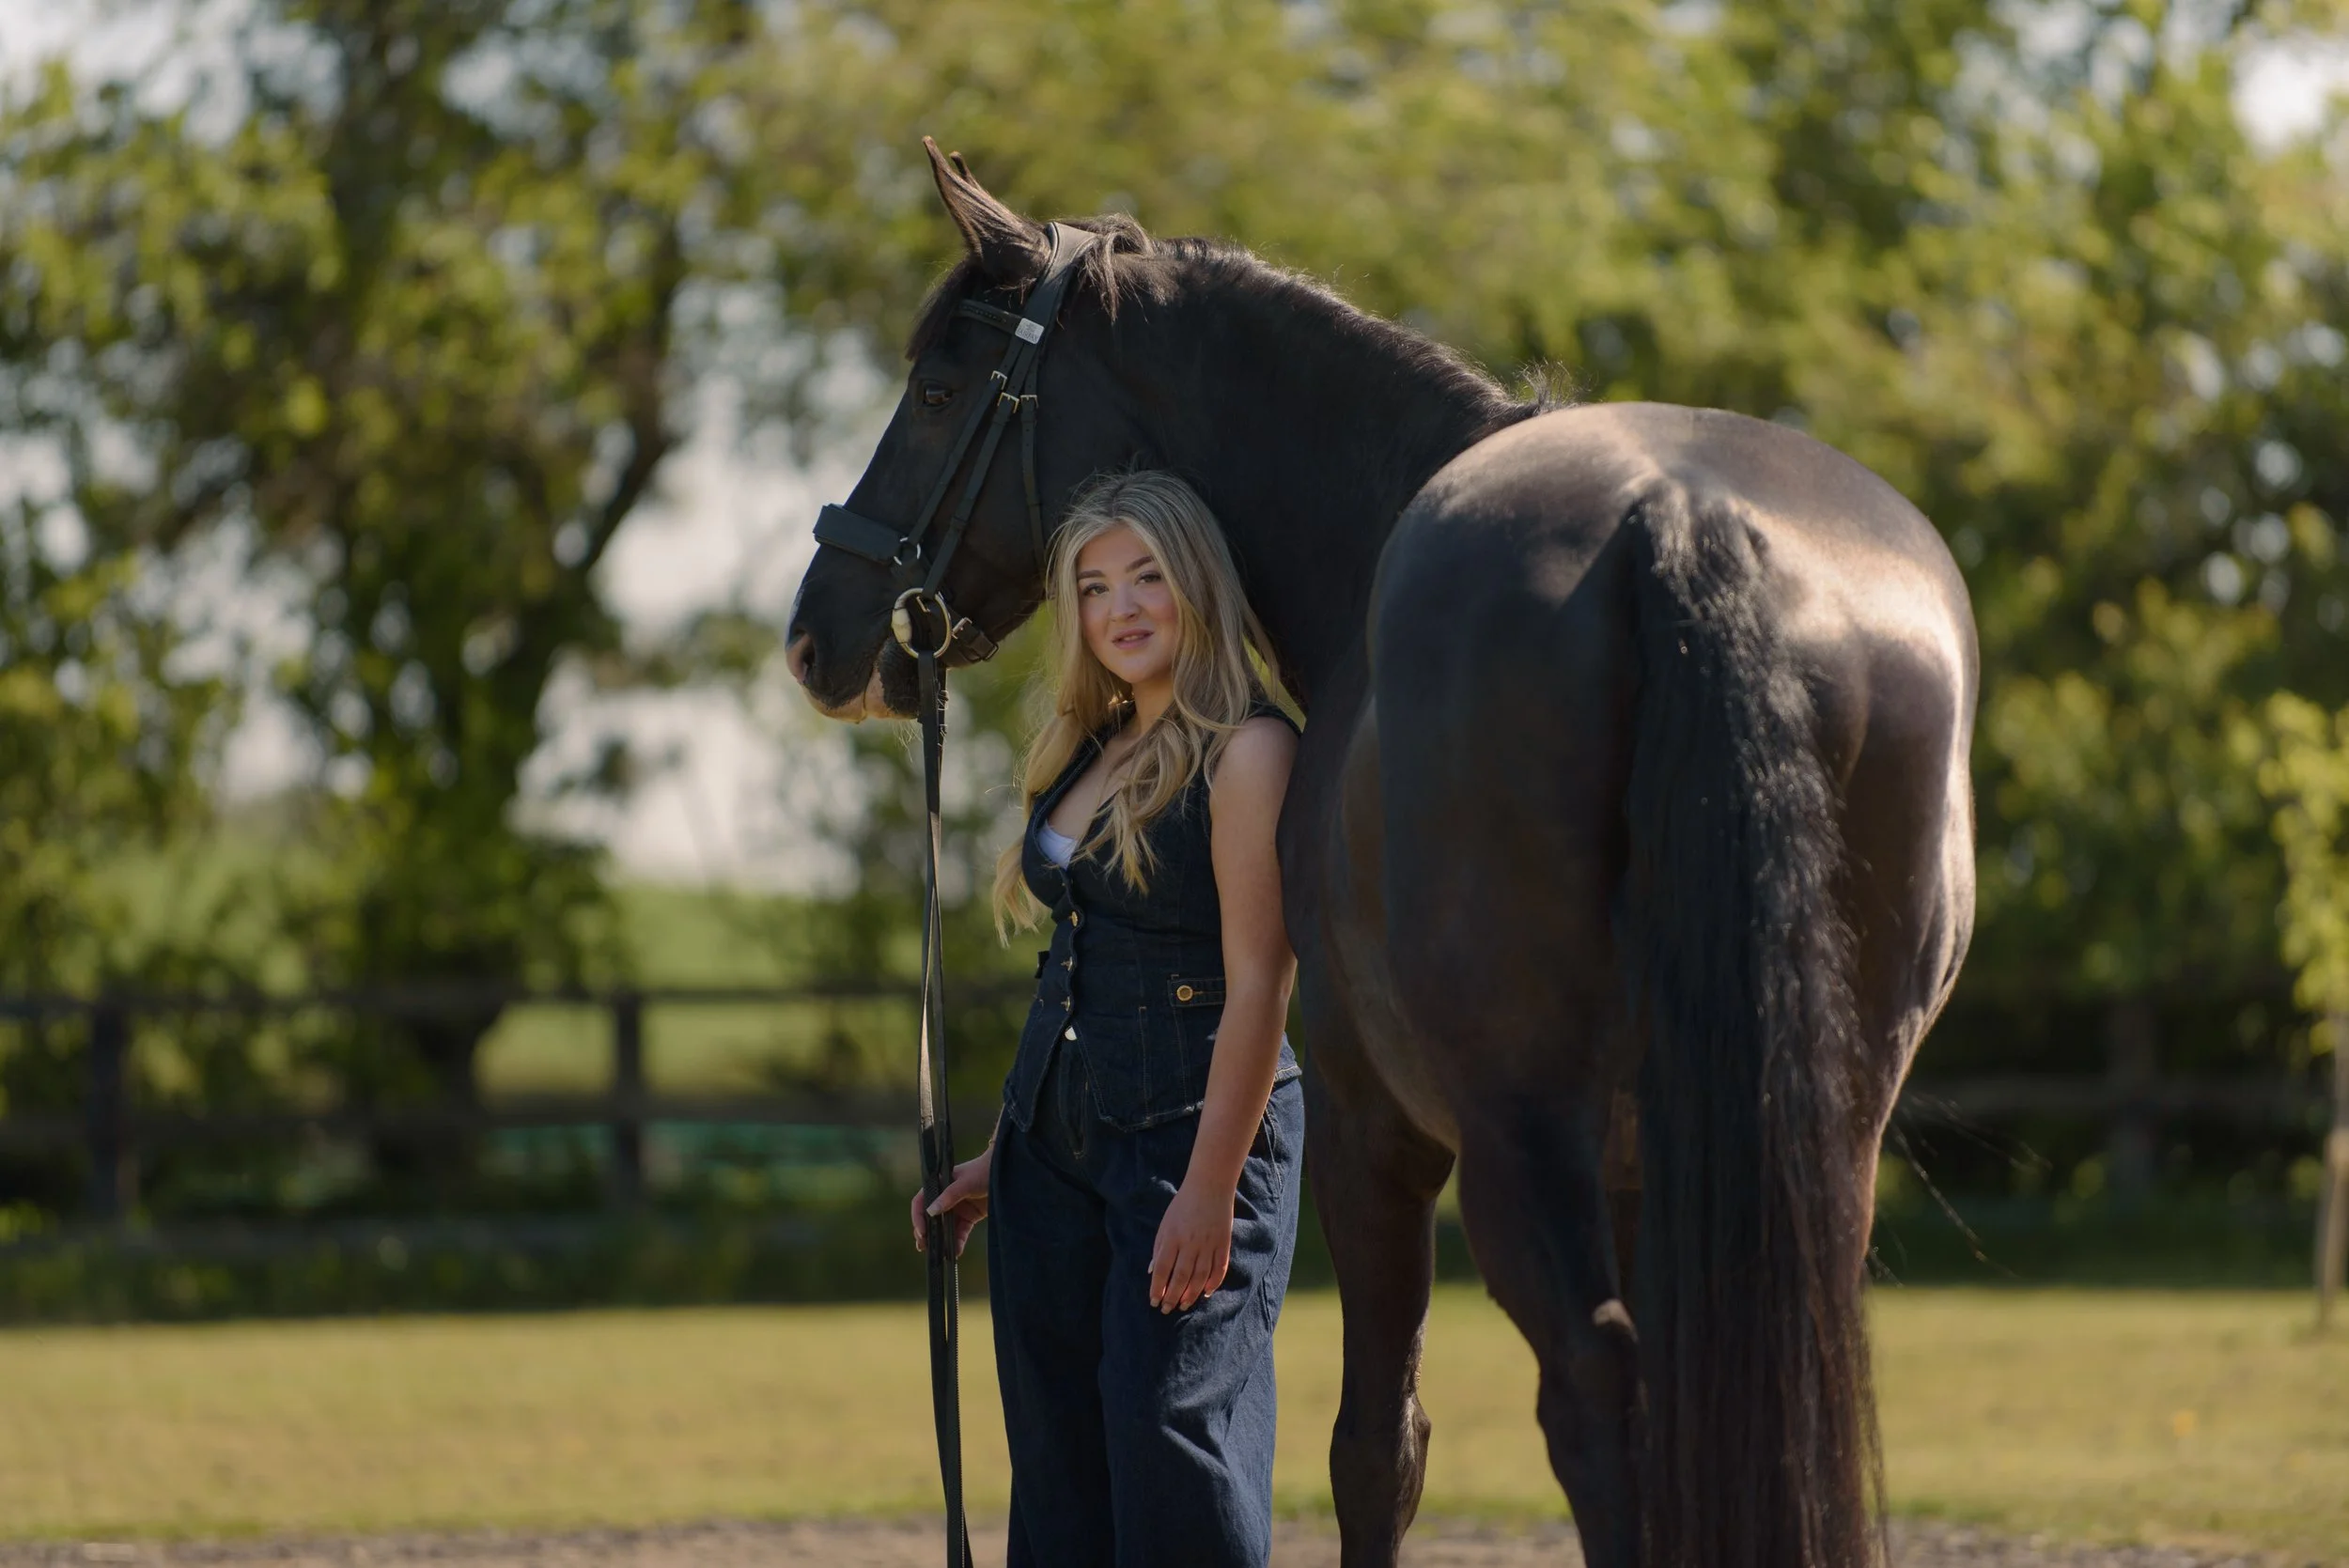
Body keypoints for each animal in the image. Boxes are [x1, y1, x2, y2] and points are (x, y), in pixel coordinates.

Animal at [785, 142, 1977, 1568]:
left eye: (937, 389)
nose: (817, 636)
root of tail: (1683, 521)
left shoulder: (1369, 1125)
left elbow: (1374, 1448)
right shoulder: (1654, 1158)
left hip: (1515, 1130)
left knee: (1591, 1395)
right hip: (1813, 1129)